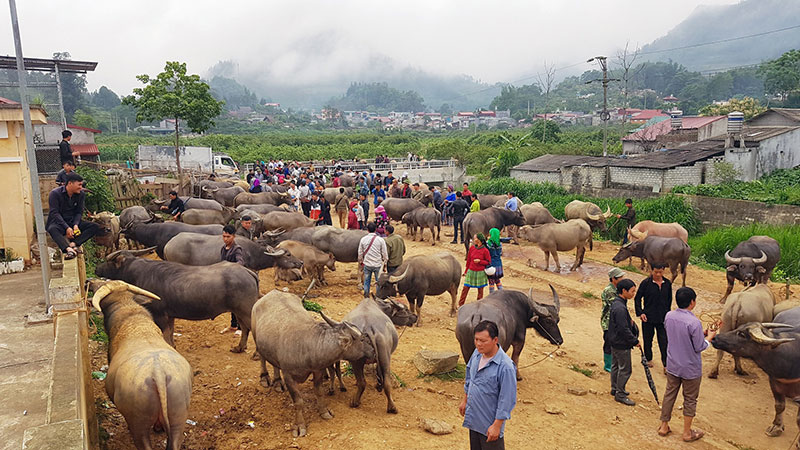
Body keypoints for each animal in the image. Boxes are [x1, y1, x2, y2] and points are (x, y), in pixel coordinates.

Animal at [712, 312, 800, 446]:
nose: (715, 338)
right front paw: (776, 427)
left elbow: (798, 418)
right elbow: (779, 406)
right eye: (739, 328)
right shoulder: (775, 383)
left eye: (742, 334)